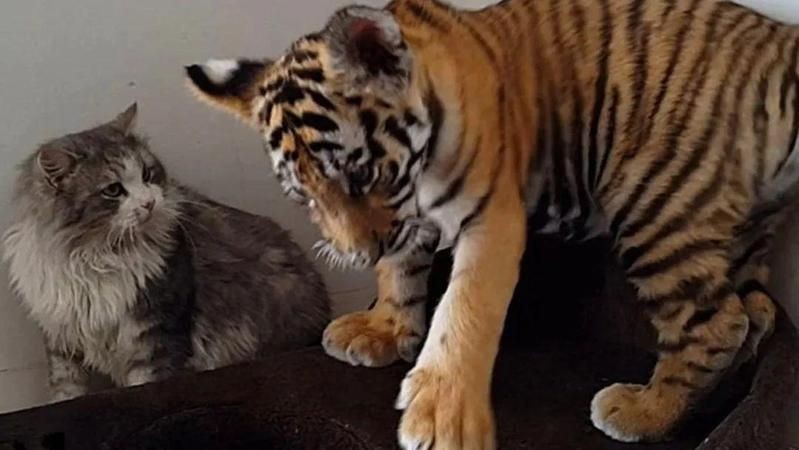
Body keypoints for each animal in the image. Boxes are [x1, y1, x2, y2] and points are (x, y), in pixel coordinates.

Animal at [184, 0, 796, 447]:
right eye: (304, 196)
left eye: (360, 173)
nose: (358, 254)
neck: (419, 174)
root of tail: (779, 42)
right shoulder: (408, 222)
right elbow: (400, 273)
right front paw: (385, 329)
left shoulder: (489, 217)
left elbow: (464, 310)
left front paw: (442, 417)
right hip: (738, 223)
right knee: (756, 313)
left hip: (654, 195)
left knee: (718, 323)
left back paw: (643, 411)